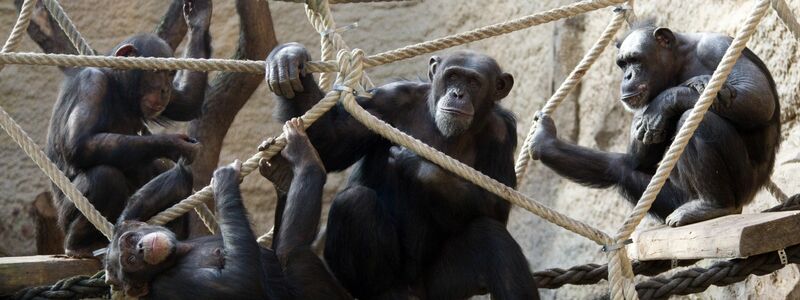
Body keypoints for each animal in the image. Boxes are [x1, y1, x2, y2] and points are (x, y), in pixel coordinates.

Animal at [44, 0, 209, 258]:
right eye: (155, 71)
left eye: (170, 73)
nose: (164, 89)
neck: (118, 86)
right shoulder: (92, 83)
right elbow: (80, 143)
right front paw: (175, 144)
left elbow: (187, 102)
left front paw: (199, 19)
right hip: (65, 218)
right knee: (104, 176)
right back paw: (80, 244)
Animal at [104, 119, 350, 300]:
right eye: (131, 261)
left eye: (131, 241)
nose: (140, 248)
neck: (181, 251)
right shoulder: (172, 286)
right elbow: (238, 281)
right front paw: (224, 179)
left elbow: (179, 180)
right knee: (291, 252)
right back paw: (305, 156)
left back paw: (282, 172)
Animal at [268, 43, 536, 298]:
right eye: (452, 76)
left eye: (473, 82)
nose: (457, 94)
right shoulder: (387, 100)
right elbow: (331, 141)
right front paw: (289, 58)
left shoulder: (501, 133)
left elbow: (497, 205)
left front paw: (417, 163)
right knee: (355, 201)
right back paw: (383, 291)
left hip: (440, 287)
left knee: (492, 238)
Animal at [528, 21, 780, 226]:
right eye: (622, 64)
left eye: (635, 60)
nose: (627, 76)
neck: (679, 61)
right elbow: (638, 159)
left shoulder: (717, 47)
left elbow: (757, 96)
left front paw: (668, 100)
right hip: (680, 197)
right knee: (622, 168)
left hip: (743, 184)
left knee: (695, 120)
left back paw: (713, 205)